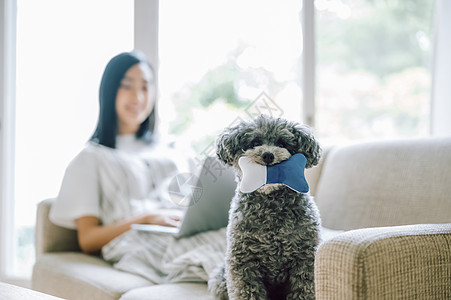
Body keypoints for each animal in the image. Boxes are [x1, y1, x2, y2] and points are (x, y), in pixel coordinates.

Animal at [210, 115, 324, 300]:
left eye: (282, 143)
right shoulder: (242, 262)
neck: (271, 201)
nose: (268, 155)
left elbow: (304, 289)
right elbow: (247, 291)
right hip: (220, 278)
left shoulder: (306, 258)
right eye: (255, 142)